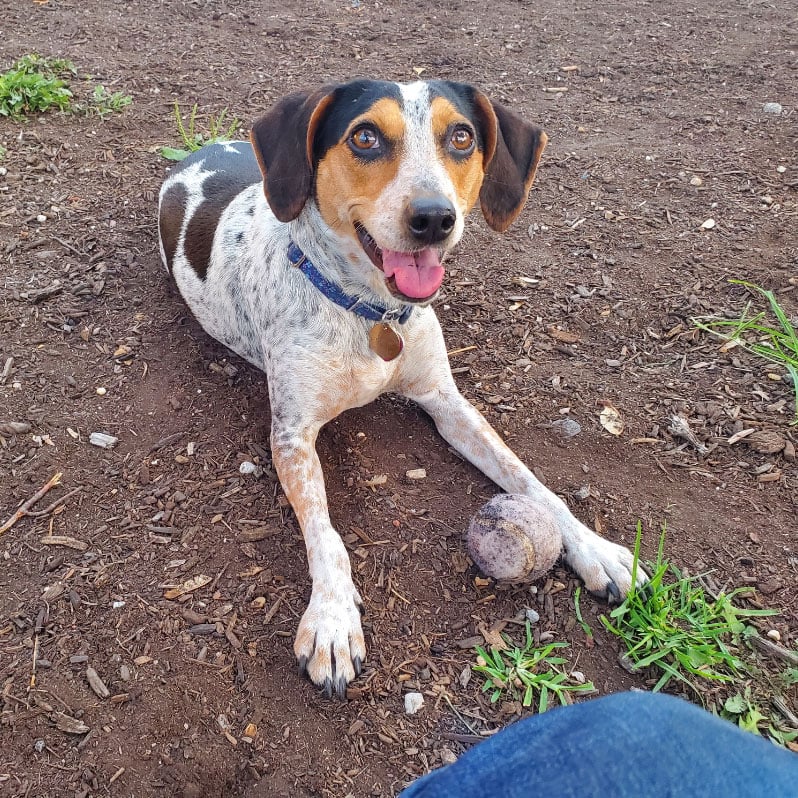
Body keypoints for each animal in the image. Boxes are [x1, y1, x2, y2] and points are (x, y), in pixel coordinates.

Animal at [161, 78, 644, 696]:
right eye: (365, 136)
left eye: (461, 136)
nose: (434, 218)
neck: (371, 309)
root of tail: (201, 152)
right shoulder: (291, 435)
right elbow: (327, 536)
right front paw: (333, 620)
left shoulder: (447, 402)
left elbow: (531, 483)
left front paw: (594, 549)